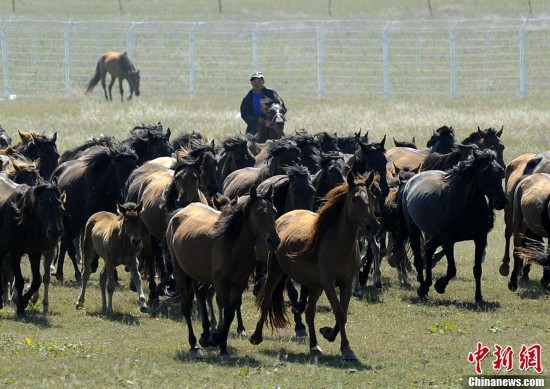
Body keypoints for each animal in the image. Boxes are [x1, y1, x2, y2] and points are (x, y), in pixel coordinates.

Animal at [0, 180, 64, 314]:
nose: (55, 232)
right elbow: (19, 280)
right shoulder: (15, 253)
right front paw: (19, 304)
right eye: (41, 203)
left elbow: (37, 280)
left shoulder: (35, 253)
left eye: (59, 203)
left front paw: (23, 302)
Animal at [166, 186, 280, 356]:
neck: (233, 247)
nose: (274, 241)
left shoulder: (239, 284)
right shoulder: (220, 283)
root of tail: (180, 212)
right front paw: (217, 339)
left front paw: (221, 344)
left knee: (200, 294)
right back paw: (194, 344)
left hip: (199, 274)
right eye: (256, 212)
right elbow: (226, 310)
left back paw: (205, 333)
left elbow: (230, 313)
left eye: (274, 211)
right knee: (186, 306)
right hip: (179, 271)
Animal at [392, 147, 508, 302]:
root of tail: (409, 182)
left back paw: (426, 286)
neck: (466, 206)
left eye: (501, 171)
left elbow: (477, 269)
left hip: (436, 235)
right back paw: (422, 290)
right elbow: (452, 269)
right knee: (419, 258)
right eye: (484, 172)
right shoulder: (448, 241)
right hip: (414, 230)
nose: (501, 201)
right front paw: (440, 286)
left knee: (428, 250)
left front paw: (478, 296)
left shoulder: (480, 239)